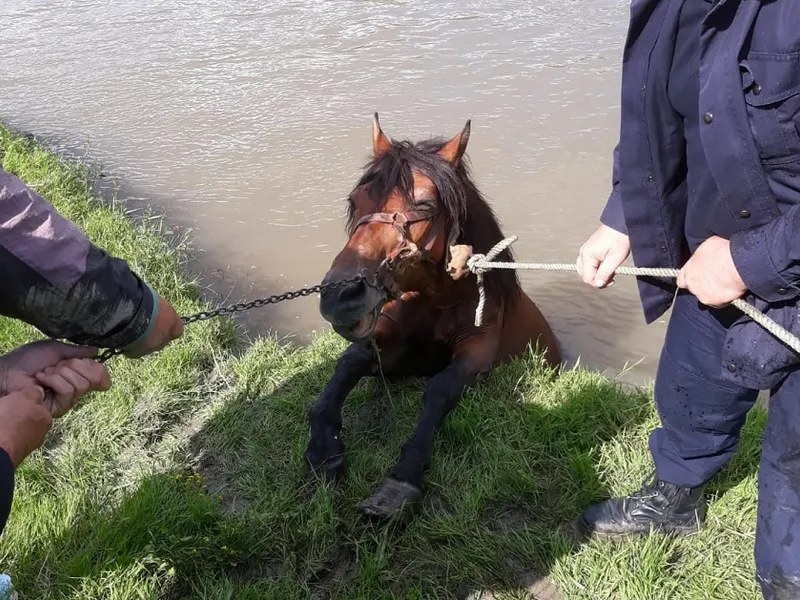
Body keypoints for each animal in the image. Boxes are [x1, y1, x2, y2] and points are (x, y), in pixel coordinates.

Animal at [306, 113, 564, 520]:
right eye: (355, 200)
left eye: (425, 204)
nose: (341, 296)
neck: (436, 302)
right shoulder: (390, 353)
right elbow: (347, 364)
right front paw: (323, 447)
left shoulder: (477, 351)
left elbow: (440, 388)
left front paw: (401, 480)